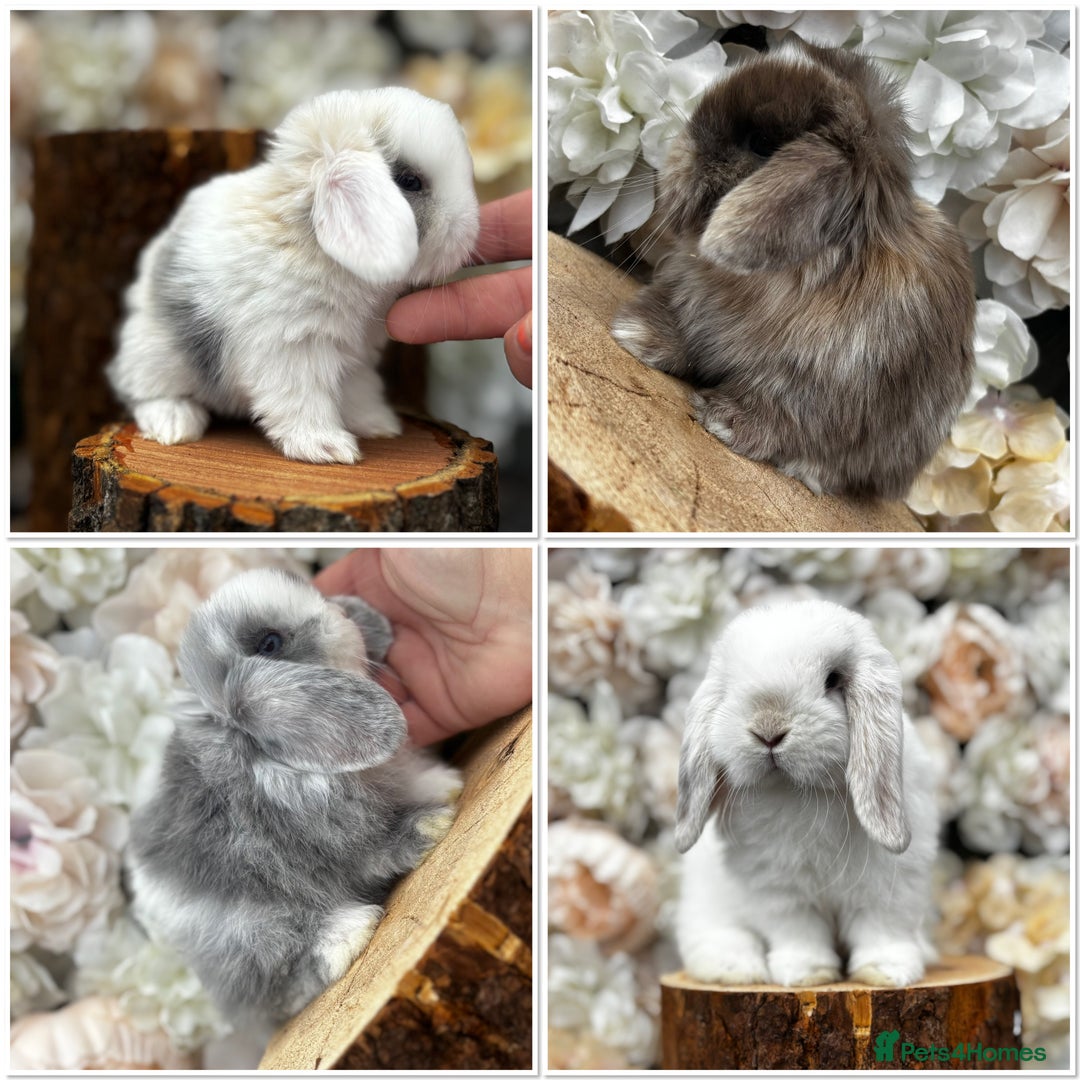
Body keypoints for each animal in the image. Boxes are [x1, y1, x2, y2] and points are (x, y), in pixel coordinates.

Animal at [107, 88, 480, 465]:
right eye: (409, 181)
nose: (469, 231)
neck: (310, 242)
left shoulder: (355, 356)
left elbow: (358, 391)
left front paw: (378, 424)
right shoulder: (293, 349)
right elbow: (303, 400)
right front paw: (327, 447)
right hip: (157, 355)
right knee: (145, 394)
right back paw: (175, 424)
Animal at [127, 568, 462, 1032]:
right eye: (270, 643)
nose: (344, 618)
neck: (255, 752)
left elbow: (410, 782)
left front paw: (444, 782)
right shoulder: (338, 839)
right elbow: (383, 847)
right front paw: (433, 824)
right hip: (252, 927)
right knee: (284, 982)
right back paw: (348, 935)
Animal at [611, 39, 975, 499]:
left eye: (763, 143)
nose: (677, 156)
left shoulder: (810, 389)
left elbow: (778, 415)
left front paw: (723, 421)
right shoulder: (686, 308)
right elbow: (676, 332)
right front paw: (634, 334)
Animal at [674, 599, 938, 989]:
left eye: (832, 679)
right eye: (731, 688)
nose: (768, 728)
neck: (804, 793)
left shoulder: (889, 884)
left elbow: (882, 929)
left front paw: (886, 974)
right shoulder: (781, 891)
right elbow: (799, 932)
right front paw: (808, 975)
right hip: (707, 908)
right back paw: (736, 969)